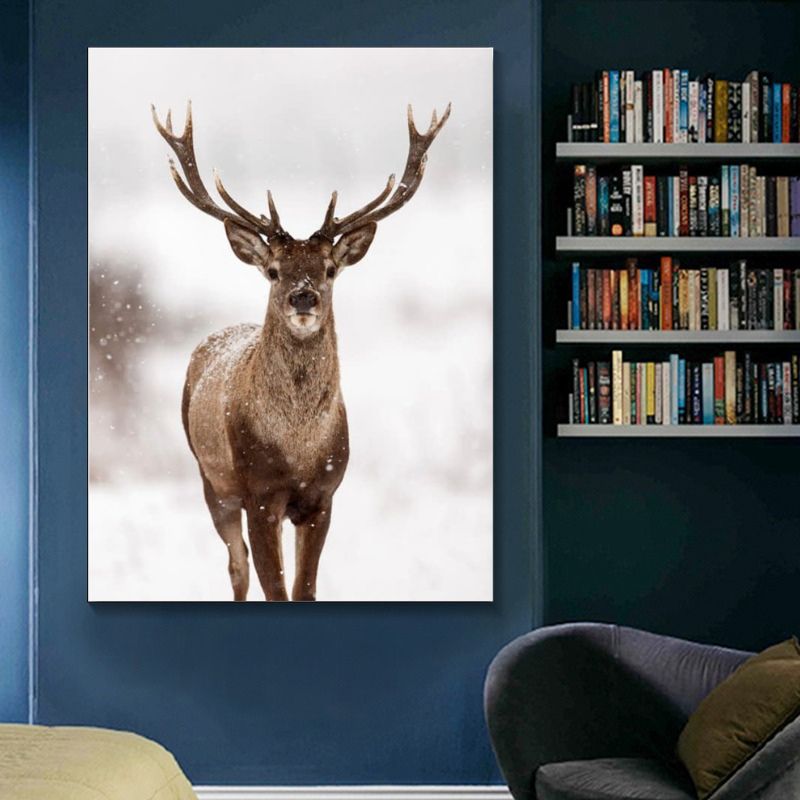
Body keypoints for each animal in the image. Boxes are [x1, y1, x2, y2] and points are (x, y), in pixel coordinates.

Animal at [151, 100, 451, 601]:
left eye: (329, 268)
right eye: (274, 270)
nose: (303, 297)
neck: (298, 447)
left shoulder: (323, 494)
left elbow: (303, 588)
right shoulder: (258, 492)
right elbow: (274, 588)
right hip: (211, 478)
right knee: (237, 566)